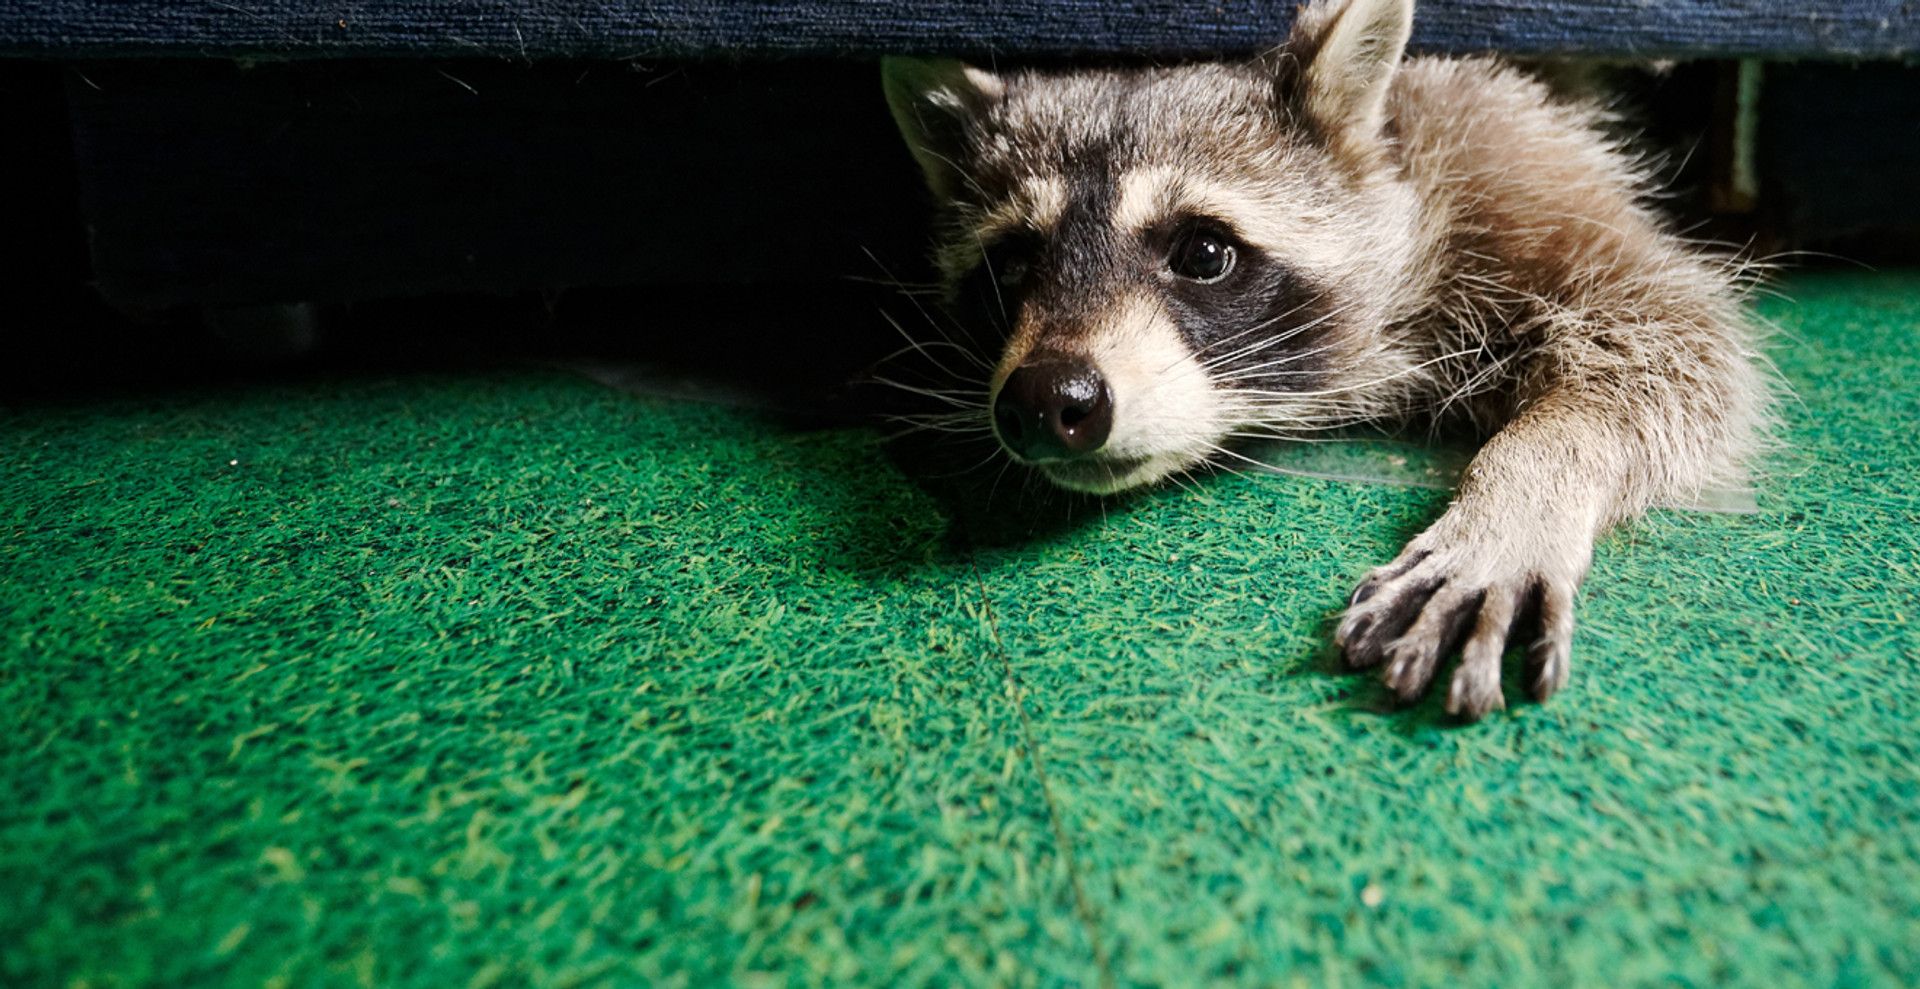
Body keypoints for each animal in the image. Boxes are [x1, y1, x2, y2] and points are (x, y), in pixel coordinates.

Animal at [879, 0, 1758, 718]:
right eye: (1012, 265)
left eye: (1203, 253)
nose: (1045, 396)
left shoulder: (1506, 155)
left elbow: (1676, 331)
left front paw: (1530, 483)